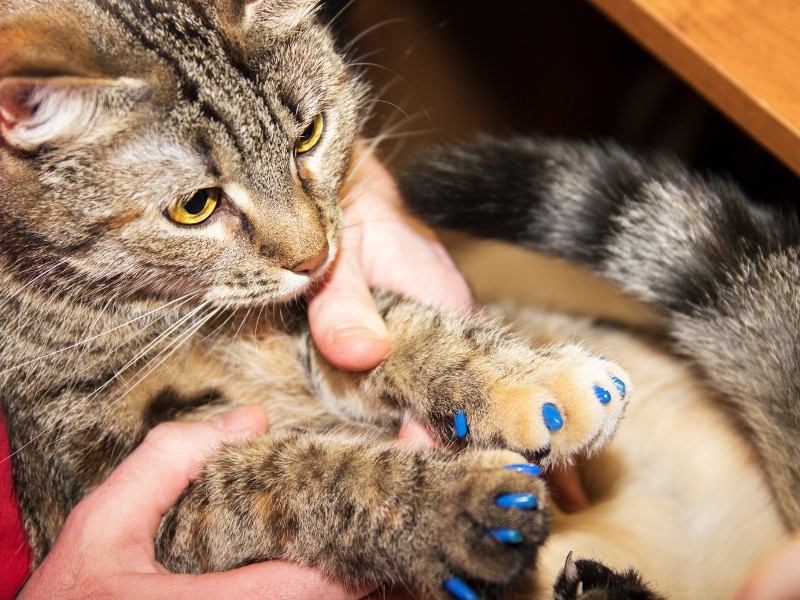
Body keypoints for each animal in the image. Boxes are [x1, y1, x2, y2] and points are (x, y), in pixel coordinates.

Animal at [0, 0, 792, 596]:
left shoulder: (315, 313)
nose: (315, 254)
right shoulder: (110, 480)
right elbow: (287, 477)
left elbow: (402, 326)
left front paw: (534, 385)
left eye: (309, 135)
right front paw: (454, 508)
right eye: (195, 206)